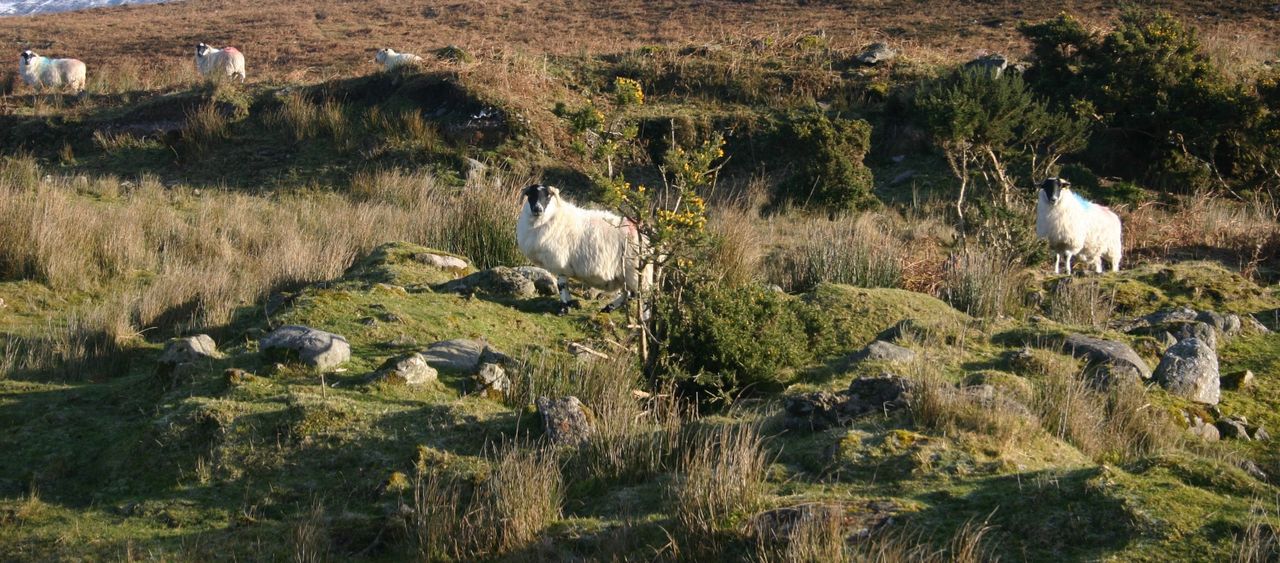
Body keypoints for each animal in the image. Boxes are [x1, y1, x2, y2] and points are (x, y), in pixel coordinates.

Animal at [516, 184, 653, 315]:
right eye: (530, 194)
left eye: (548, 195)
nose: (537, 209)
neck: (551, 216)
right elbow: (564, 286)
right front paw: (569, 304)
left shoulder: (560, 262)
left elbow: (561, 285)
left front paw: (563, 308)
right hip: (626, 274)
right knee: (629, 294)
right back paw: (607, 308)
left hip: (636, 270)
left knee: (639, 296)